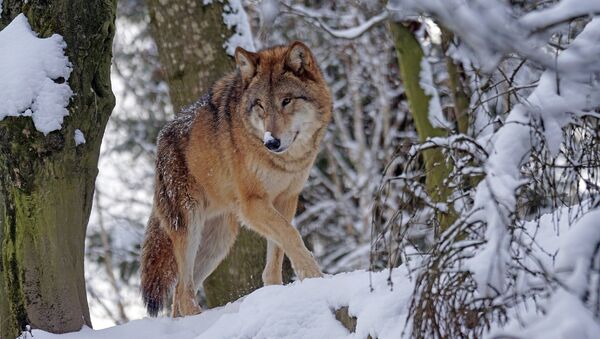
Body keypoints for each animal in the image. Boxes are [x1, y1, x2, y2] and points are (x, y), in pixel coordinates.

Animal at [141, 41, 332, 318]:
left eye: (286, 101)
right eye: (260, 104)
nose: (271, 142)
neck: (284, 162)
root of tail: (161, 139)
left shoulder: (286, 199)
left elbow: (278, 251)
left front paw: (277, 292)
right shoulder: (252, 204)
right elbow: (292, 235)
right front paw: (315, 277)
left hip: (219, 241)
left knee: (178, 294)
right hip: (190, 226)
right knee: (183, 292)